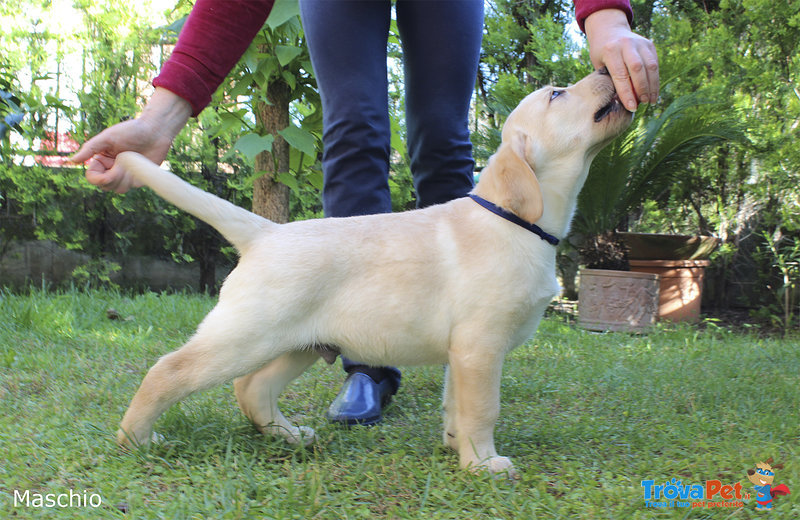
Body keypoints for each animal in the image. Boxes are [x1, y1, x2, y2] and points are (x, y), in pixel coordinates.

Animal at [112, 70, 636, 480]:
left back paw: (288, 436)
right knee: (170, 370)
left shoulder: (461, 353)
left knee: (252, 388)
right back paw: (136, 439)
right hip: (245, 335)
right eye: (557, 94)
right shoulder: (480, 346)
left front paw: (456, 447)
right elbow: (484, 407)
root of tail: (266, 233)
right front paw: (484, 464)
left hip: (301, 342)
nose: (607, 71)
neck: (515, 220)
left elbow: (456, 404)